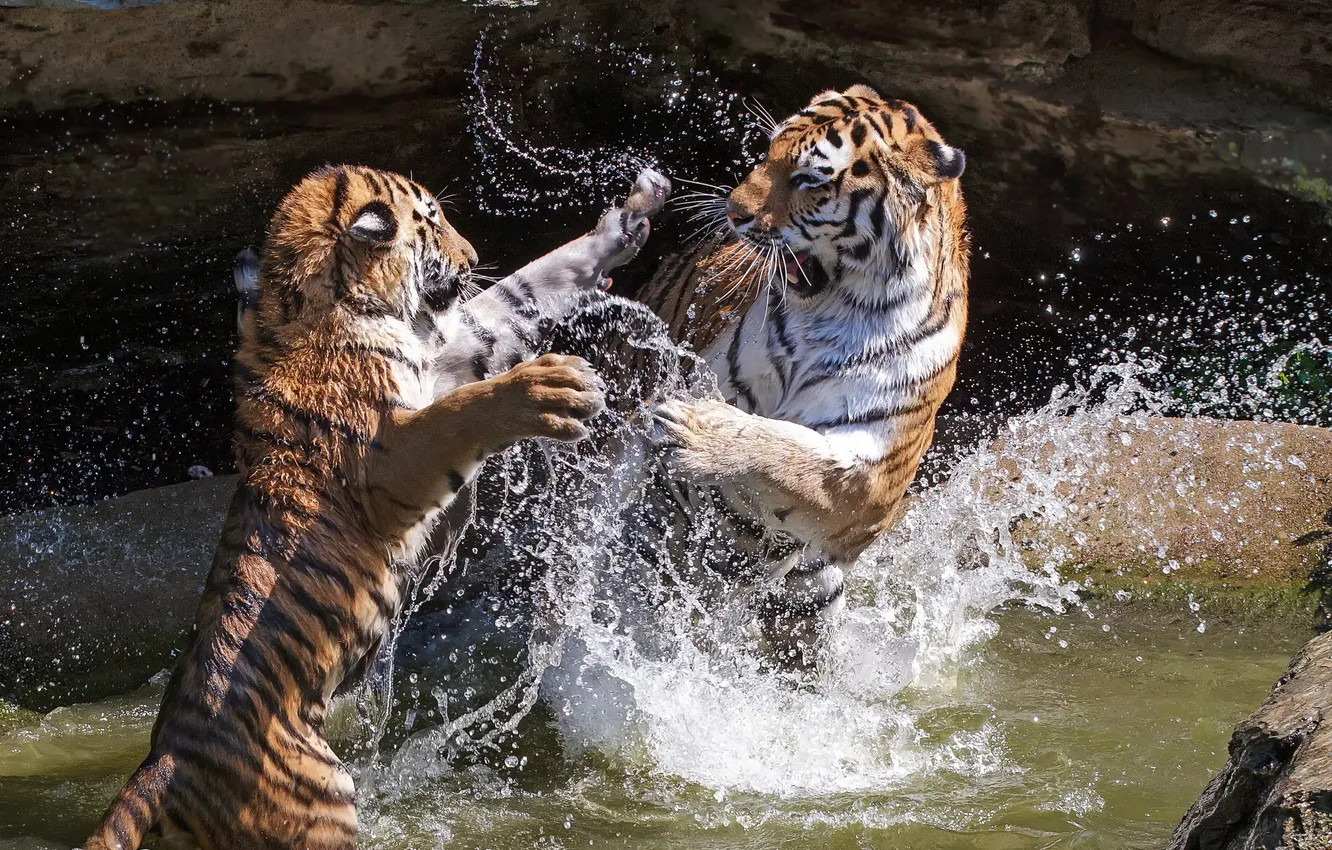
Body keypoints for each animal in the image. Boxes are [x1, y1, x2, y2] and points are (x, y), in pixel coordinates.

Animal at [85, 164, 668, 850]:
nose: (472, 256)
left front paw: (630, 217)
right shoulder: (390, 454)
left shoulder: (449, 357)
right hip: (321, 803)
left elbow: (522, 289)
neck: (332, 304)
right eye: (433, 222)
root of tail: (162, 764)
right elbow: (464, 411)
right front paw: (556, 386)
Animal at [635, 84, 970, 664]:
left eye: (810, 178)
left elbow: (794, 453)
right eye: (767, 152)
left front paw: (693, 432)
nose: (732, 213)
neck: (834, 307)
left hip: (811, 600)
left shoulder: (872, 483)